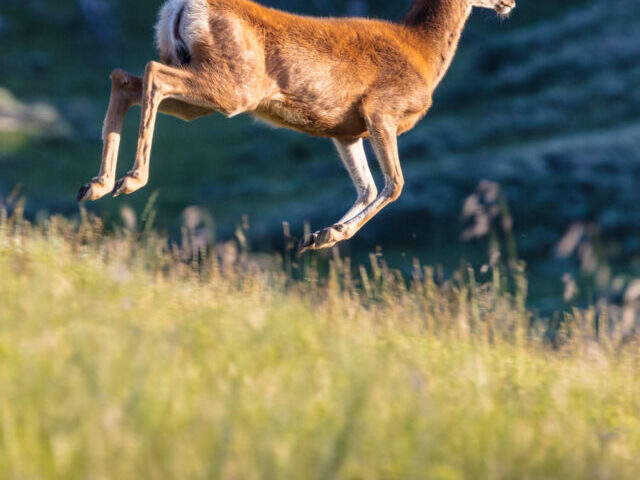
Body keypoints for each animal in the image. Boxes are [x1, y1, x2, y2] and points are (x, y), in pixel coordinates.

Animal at [76, 0, 516, 253]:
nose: (509, 1)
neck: (420, 49)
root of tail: (181, 6)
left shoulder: (344, 131)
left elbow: (365, 186)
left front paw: (319, 235)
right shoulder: (381, 111)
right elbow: (394, 185)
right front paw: (330, 235)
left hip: (200, 91)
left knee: (126, 78)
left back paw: (96, 185)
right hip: (234, 86)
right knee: (152, 74)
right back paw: (130, 179)